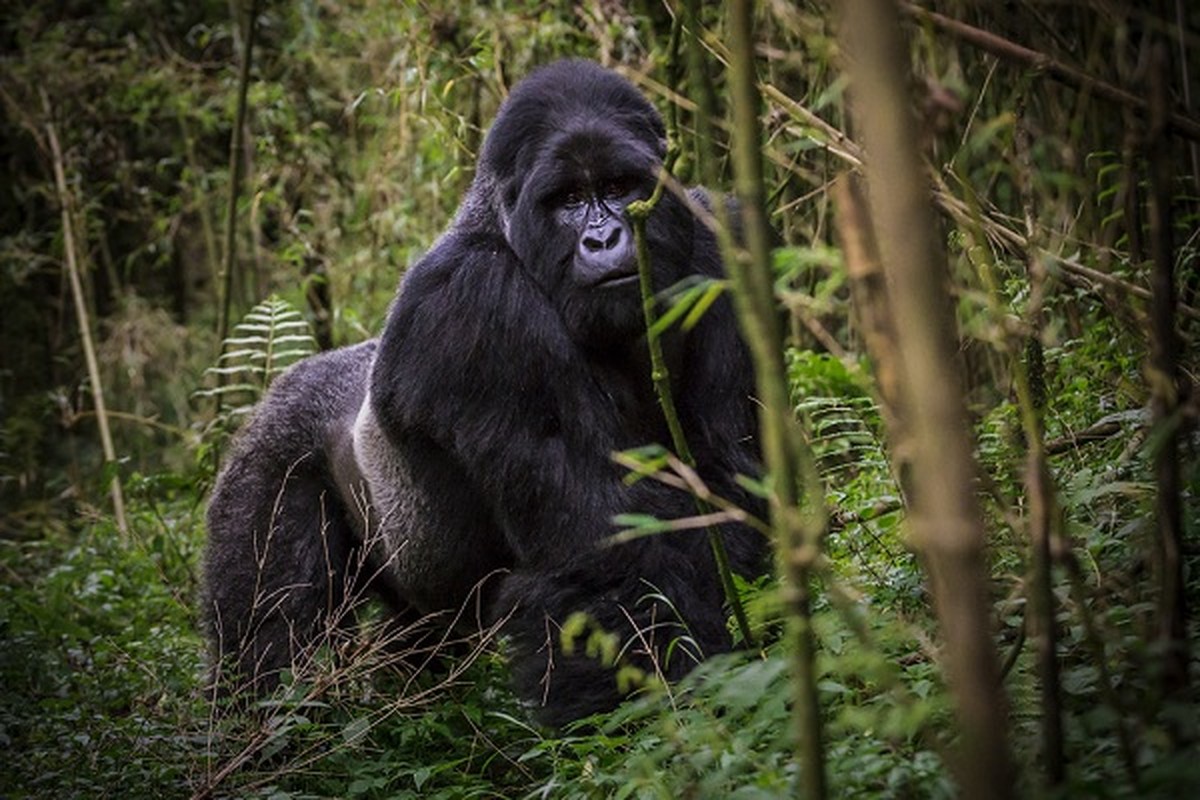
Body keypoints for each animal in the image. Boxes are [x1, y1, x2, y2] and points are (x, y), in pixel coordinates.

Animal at [206, 61, 768, 724]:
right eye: (569, 200)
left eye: (620, 185)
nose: (604, 239)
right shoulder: (479, 307)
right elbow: (607, 553)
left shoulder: (722, 242)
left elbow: (730, 474)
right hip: (273, 452)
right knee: (269, 638)